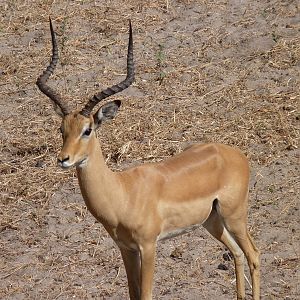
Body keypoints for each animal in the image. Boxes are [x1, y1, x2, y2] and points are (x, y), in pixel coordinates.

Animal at [35, 18, 260, 300]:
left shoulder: (148, 246)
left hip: (234, 216)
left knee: (253, 254)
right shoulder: (126, 248)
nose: (63, 159)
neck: (122, 193)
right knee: (237, 252)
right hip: (212, 221)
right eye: (61, 129)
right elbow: (133, 292)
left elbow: (146, 293)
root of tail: (236, 154)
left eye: (87, 130)